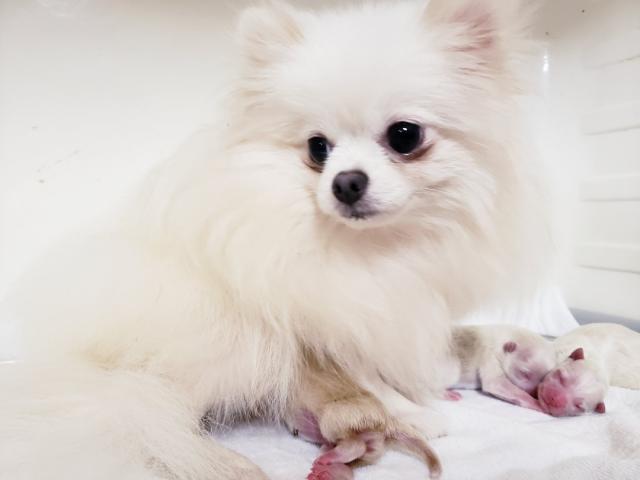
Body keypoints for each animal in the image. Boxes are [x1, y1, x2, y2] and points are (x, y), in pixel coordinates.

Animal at [0, 1, 546, 478]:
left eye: (405, 135)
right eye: (317, 148)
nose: (346, 182)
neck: (372, 250)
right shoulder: (328, 325)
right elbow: (367, 378)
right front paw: (411, 413)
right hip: (216, 336)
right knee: (152, 418)